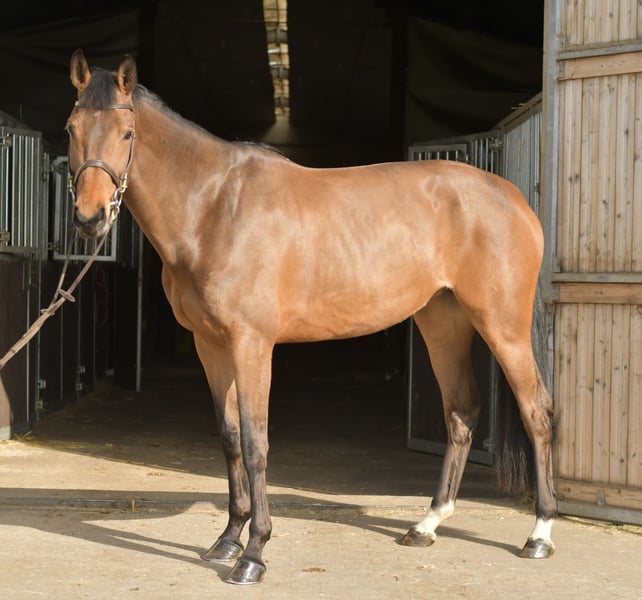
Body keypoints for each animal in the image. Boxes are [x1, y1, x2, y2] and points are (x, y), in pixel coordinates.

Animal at [66, 49, 556, 585]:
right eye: (71, 128)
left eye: (127, 134)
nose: (90, 218)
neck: (215, 206)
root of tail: (513, 197)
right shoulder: (210, 346)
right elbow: (230, 438)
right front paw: (227, 540)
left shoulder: (251, 343)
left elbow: (255, 442)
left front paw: (253, 554)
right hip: (442, 324)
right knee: (461, 412)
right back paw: (426, 525)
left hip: (503, 327)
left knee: (536, 411)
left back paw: (539, 535)